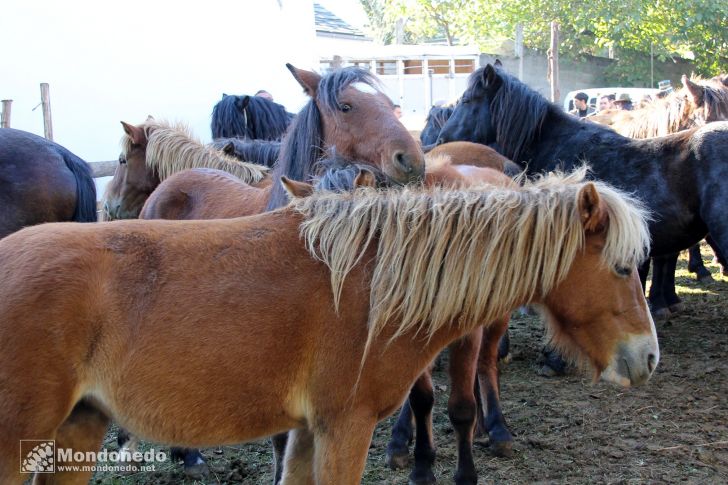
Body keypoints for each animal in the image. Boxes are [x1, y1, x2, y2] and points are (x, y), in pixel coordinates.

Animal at [1, 168, 660, 482]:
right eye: (623, 267)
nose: (648, 357)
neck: (367, 281)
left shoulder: (306, 432)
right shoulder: (345, 428)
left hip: (78, 430)